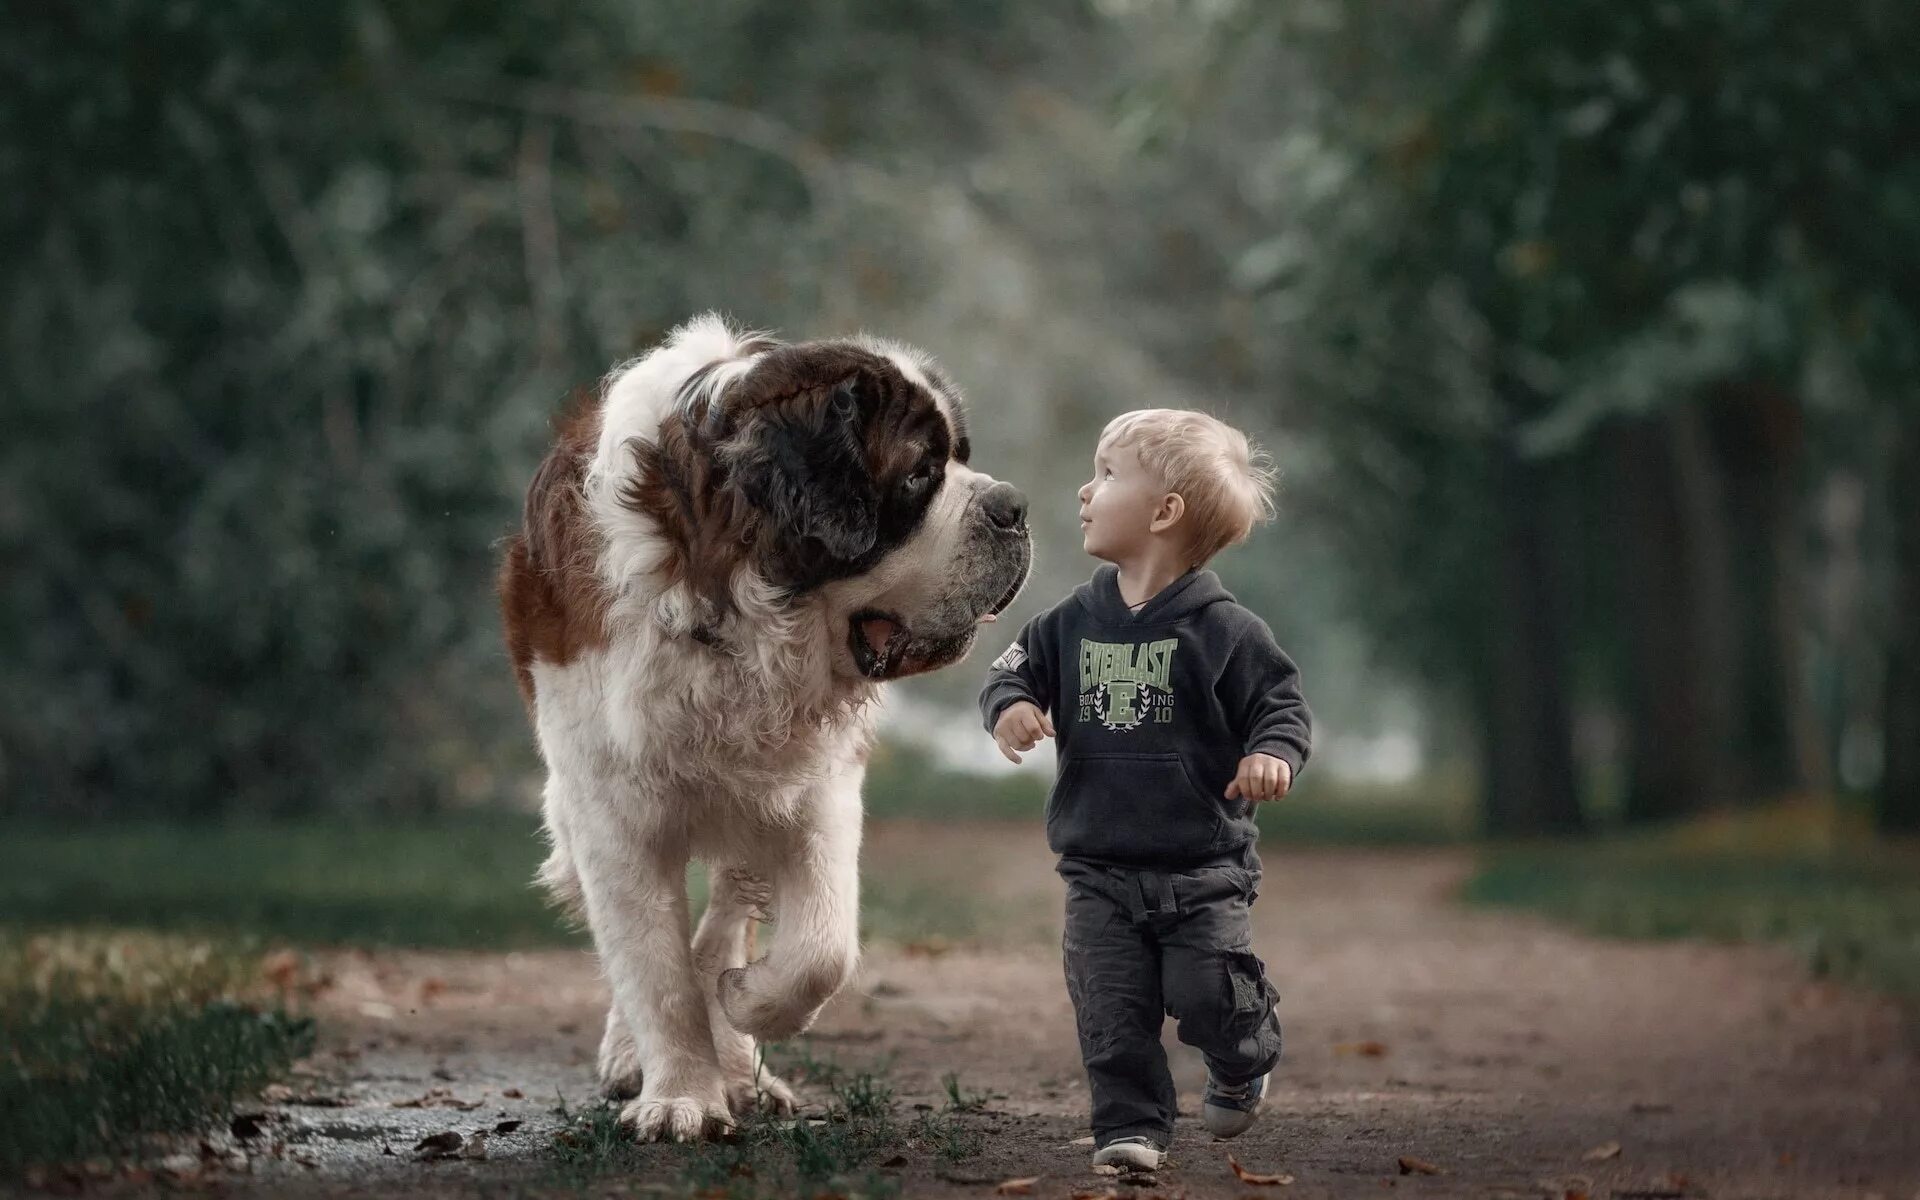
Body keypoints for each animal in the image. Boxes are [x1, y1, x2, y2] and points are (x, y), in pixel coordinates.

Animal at [503, 318, 1029, 1144]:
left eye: (964, 460)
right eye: (920, 474)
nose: (1015, 506)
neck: (730, 609)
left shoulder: (817, 786)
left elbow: (822, 945)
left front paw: (745, 1003)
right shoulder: (609, 805)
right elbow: (652, 966)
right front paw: (681, 1096)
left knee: (729, 911)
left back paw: (737, 1050)